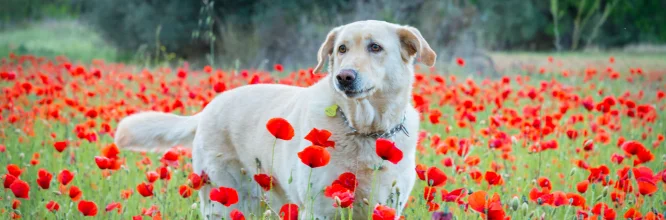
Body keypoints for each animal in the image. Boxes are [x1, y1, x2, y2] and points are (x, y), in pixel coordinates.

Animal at [114, 20, 436, 218]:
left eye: (375, 47)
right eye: (342, 49)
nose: (344, 77)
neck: (364, 130)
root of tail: (208, 108)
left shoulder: (385, 207)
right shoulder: (319, 208)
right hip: (225, 198)